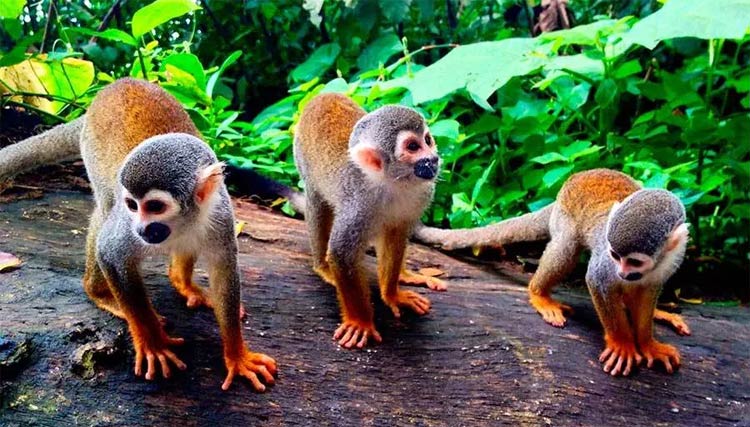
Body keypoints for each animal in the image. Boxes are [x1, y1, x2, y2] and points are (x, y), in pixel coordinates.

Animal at [0, 78, 276, 391]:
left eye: (155, 206)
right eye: (133, 205)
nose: (142, 228)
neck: (181, 224)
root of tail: (103, 94)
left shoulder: (220, 213)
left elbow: (224, 272)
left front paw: (237, 355)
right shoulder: (126, 223)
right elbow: (110, 252)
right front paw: (152, 341)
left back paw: (183, 282)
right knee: (105, 210)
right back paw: (99, 293)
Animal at [288, 92, 442, 348]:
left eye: (428, 140)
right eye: (413, 147)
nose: (434, 159)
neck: (392, 184)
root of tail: (322, 95)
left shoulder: (423, 192)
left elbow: (396, 235)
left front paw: (392, 294)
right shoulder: (357, 205)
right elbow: (342, 253)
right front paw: (360, 322)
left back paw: (405, 274)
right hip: (300, 156)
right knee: (317, 203)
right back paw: (323, 267)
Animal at [414, 169, 690, 376]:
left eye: (634, 261)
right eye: (615, 255)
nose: (622, 273)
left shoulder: (671, 258)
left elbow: (648, 290)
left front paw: (647, 342)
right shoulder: (606, 258)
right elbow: (597, 280)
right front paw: (622, 342)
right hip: (565, 217)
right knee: (566, 248)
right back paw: (539, 294)